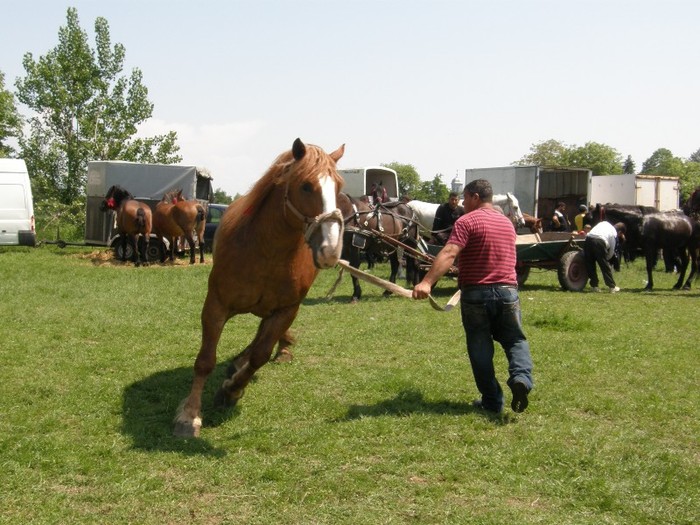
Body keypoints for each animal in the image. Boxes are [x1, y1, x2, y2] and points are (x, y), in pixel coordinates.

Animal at [172, 137, 342, 436]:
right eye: (306, 185)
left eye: (339, 187)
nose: (331, 249)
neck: (266, 252)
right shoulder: (216, 305)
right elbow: (205, 361)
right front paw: (189, 415)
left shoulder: (287, 310)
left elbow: (261, 355)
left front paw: (231, 390)